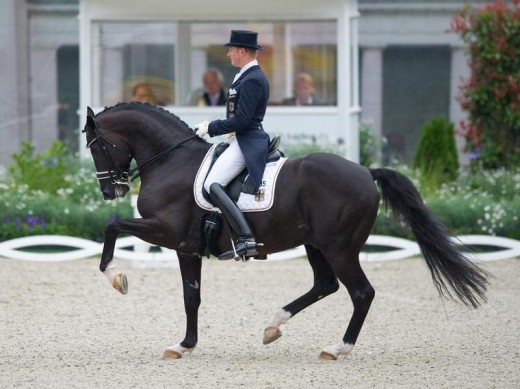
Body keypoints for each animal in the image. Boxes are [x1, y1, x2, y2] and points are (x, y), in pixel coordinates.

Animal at [83, 101, 490, 360]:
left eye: (96, 145)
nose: (110, 191)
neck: (172, 162)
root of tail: (365, 171)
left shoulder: (166, 232)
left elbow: (112, 225)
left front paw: (116, 277)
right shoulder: (186, 246)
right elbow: (191, 297)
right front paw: (184, 345)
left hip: (340, 247)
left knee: (361, 292)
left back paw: (337, 348)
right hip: (315, 244)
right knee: (325, 284)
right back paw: (273, 326)